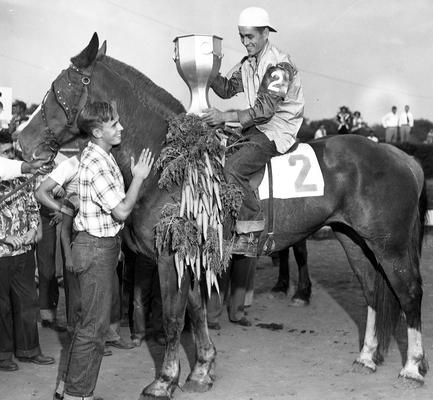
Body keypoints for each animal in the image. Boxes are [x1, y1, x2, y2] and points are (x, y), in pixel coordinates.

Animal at [18, 33, 426, 396]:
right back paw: (367, 357)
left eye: (58, 88)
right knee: (372, 292)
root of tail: (403, 157)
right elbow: (196, 312)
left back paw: (412, 368)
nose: (22, 141)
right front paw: (201, 371)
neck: (169, 163)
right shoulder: (190, 257)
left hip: (390, 247)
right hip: (355, 240)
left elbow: (173, 318)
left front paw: (164, 381)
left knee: (409, 294)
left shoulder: (169, 258)